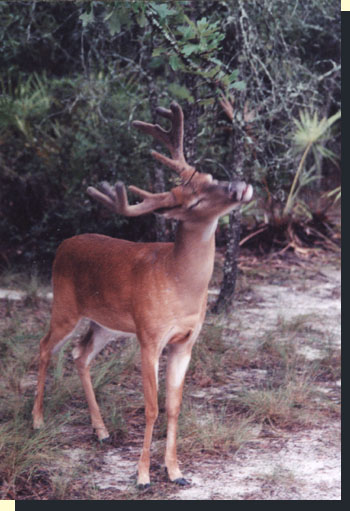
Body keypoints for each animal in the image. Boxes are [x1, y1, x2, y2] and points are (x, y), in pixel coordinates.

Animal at [31, 100, 253, 488]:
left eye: (211, 177)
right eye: (194, 202)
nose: (240, 186)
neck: (180, 283)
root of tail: (64, 244)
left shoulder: (186, 340)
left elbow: (174, 405)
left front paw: (177, 472)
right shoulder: (150, 335)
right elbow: (151, 406)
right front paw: (143, 475)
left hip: (106, 324)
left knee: (80, 355)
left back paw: (102, 431)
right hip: (65, 305)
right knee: (45, 347)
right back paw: (38, 421)